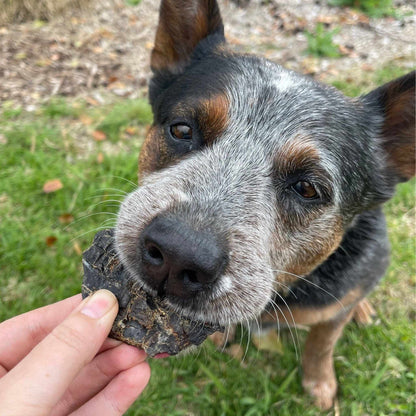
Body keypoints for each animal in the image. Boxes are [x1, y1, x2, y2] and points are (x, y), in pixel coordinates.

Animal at [114, 0, 416, 410]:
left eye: (307, 187)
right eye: (182, 129)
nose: (178, 254)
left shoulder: (332, 310)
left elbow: (322, 342)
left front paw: (319, 384)